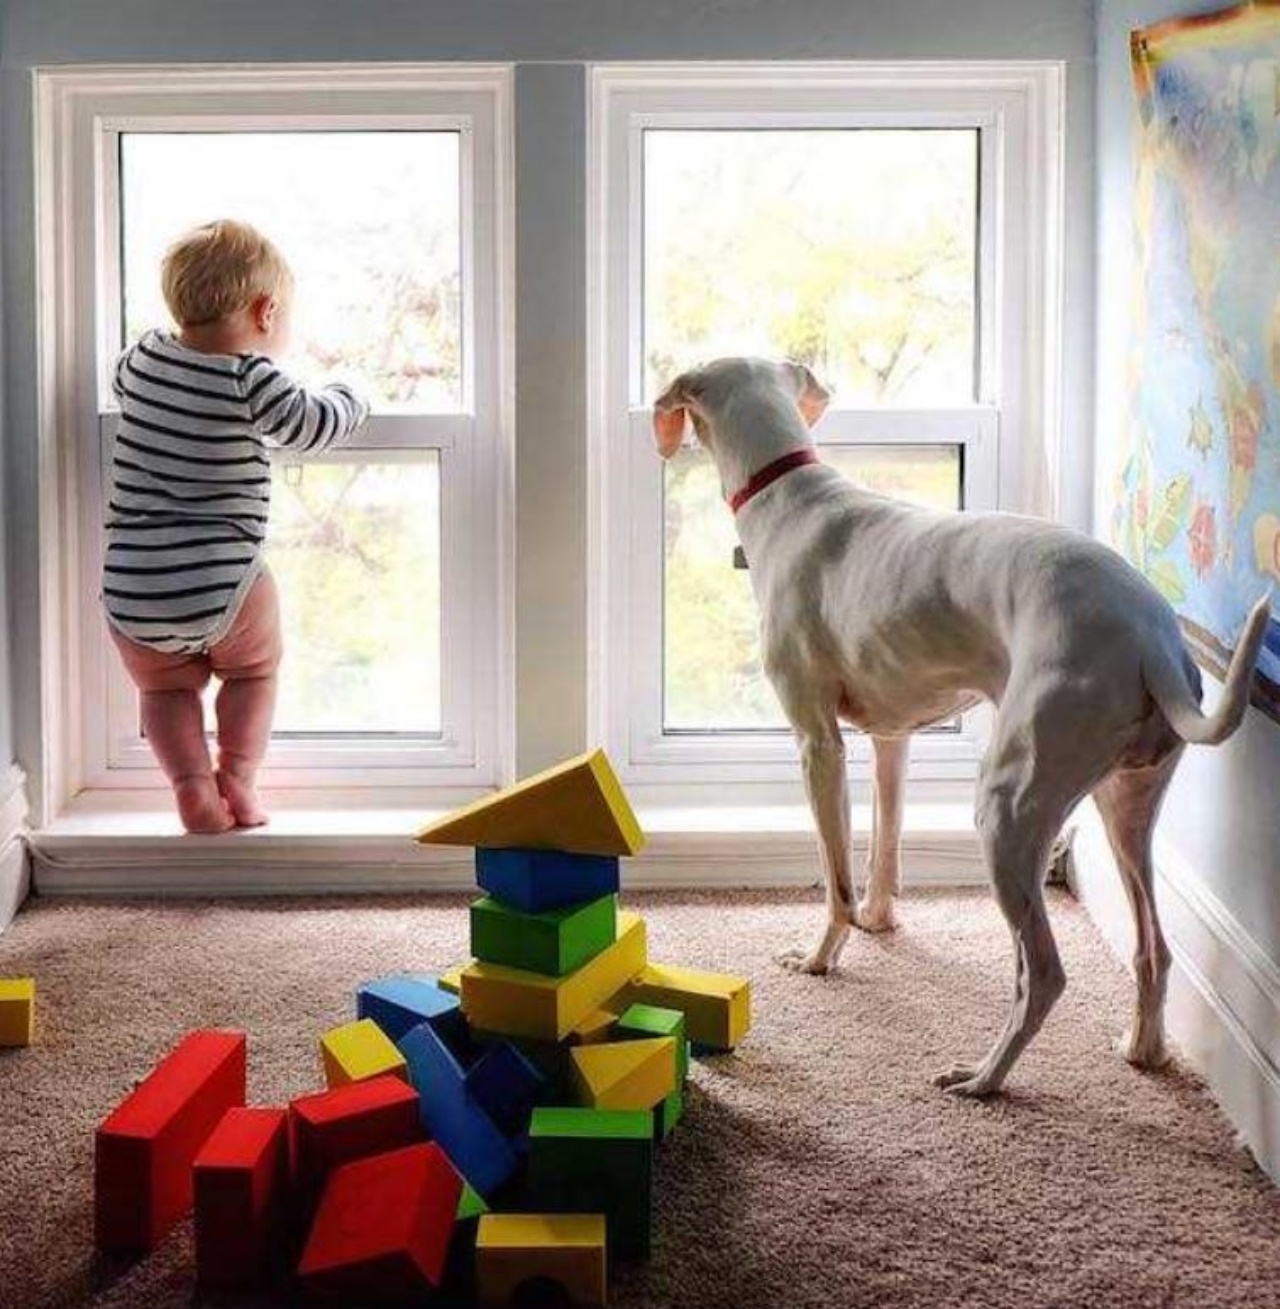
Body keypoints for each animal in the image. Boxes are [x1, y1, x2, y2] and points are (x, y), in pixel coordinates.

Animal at [654, 356, 1272, 1094]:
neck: (790, 494)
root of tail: (1150, 634)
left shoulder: (818, 745)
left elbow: (836, 881)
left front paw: (821, 956)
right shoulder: (892, 738)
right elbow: (883, 844)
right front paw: (880, 922)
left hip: (1007, 805)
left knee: (1043, 974)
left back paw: (984, 1078)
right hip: (1125, 802)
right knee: (1154, 947)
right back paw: (1141, 1048)